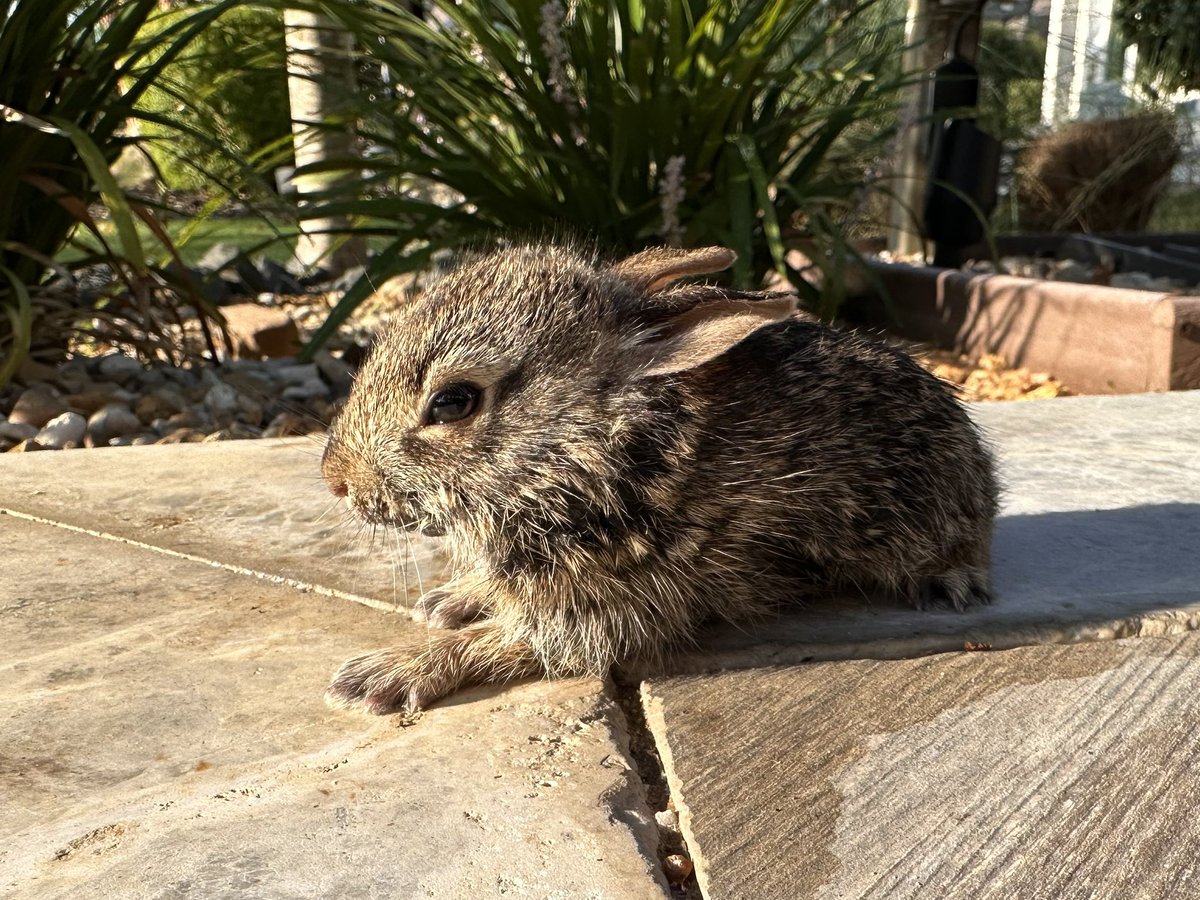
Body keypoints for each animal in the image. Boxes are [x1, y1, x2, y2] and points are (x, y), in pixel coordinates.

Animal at [320, 243, 999, 714]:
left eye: (453, 403)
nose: (336, 480)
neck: (590, 448)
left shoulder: (607, 605)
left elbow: (510, 644)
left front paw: (384, 674)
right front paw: (454, 599)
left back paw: (951, 582)